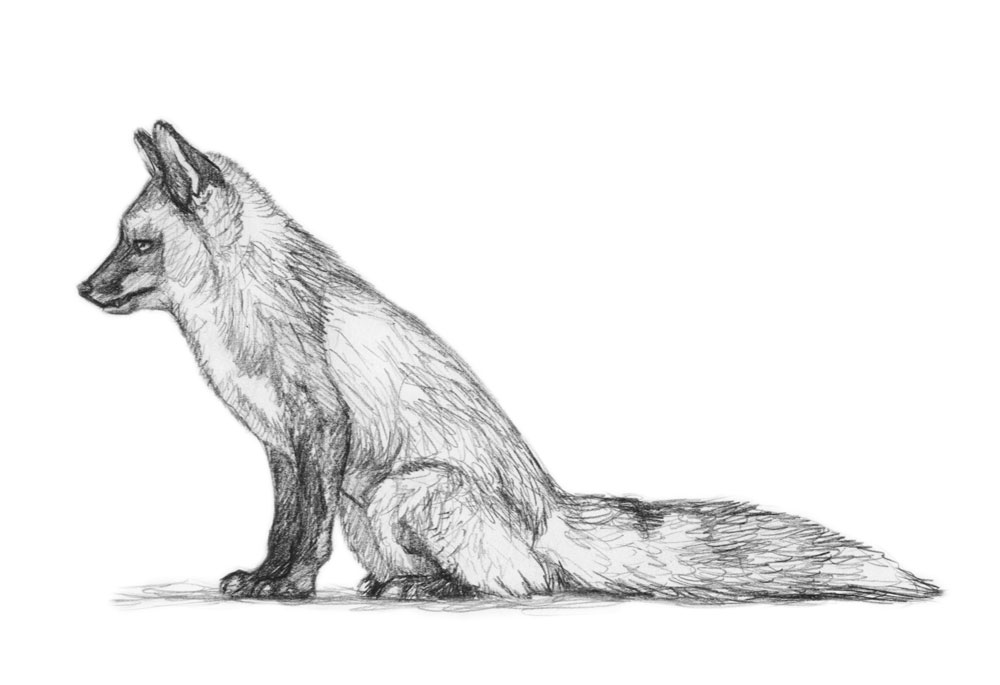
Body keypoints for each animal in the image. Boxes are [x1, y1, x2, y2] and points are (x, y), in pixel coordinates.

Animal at [79, 121, 939, 603]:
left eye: (138, 243)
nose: (83, 288)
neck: (238, 322)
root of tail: (548, 506)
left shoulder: (319, 429)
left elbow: (304, 534)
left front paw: (286, 587)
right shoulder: (284, 448)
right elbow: (285, 523)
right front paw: (265, 575)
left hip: (411, 489)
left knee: (523, 581)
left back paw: (428, 587)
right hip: (372, 509)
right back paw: (399, 582)